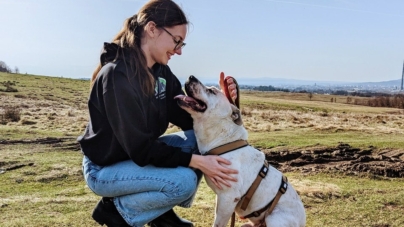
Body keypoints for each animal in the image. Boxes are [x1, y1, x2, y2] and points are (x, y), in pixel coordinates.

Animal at [175, 75, 304, 226]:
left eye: (212, 91)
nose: (191, 77)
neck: (224, 141)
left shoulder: (228, 198)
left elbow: (218, 224)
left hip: (275, 218)